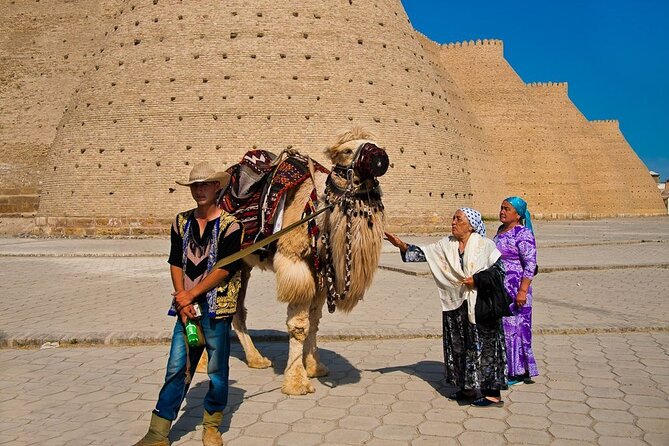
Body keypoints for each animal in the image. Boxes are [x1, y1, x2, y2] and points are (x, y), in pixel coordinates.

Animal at [214, 128, 392, 394]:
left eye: (377, 144)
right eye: (347, 151)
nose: (380, 157)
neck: (317, 216)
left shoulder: (321, 272)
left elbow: (315, 321)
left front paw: (315, 367)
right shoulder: (295, 262)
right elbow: (299, 325)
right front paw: (296, 382)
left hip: (242, 264)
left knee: (236, 310)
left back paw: (256, 359)